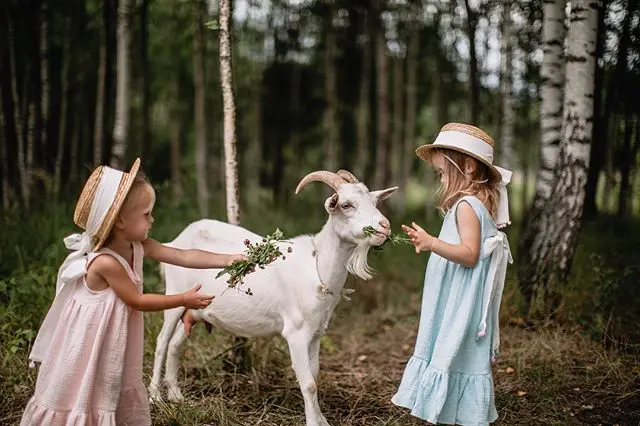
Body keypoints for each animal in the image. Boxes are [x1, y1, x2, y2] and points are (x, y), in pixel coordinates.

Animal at [150, 170, 398, 426]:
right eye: (346, 204)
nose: (385, 226)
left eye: (375, 202)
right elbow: (308, 384)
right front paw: (313, 422)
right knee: (162, 342)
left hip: (195, 308)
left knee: (175, 344)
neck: (317, 265)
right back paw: (155, 397)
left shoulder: (317, 332)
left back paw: (177, 396)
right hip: (175, 295)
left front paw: (322, 420)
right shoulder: (296, 333)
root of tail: (176, 240)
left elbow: (315, 375)